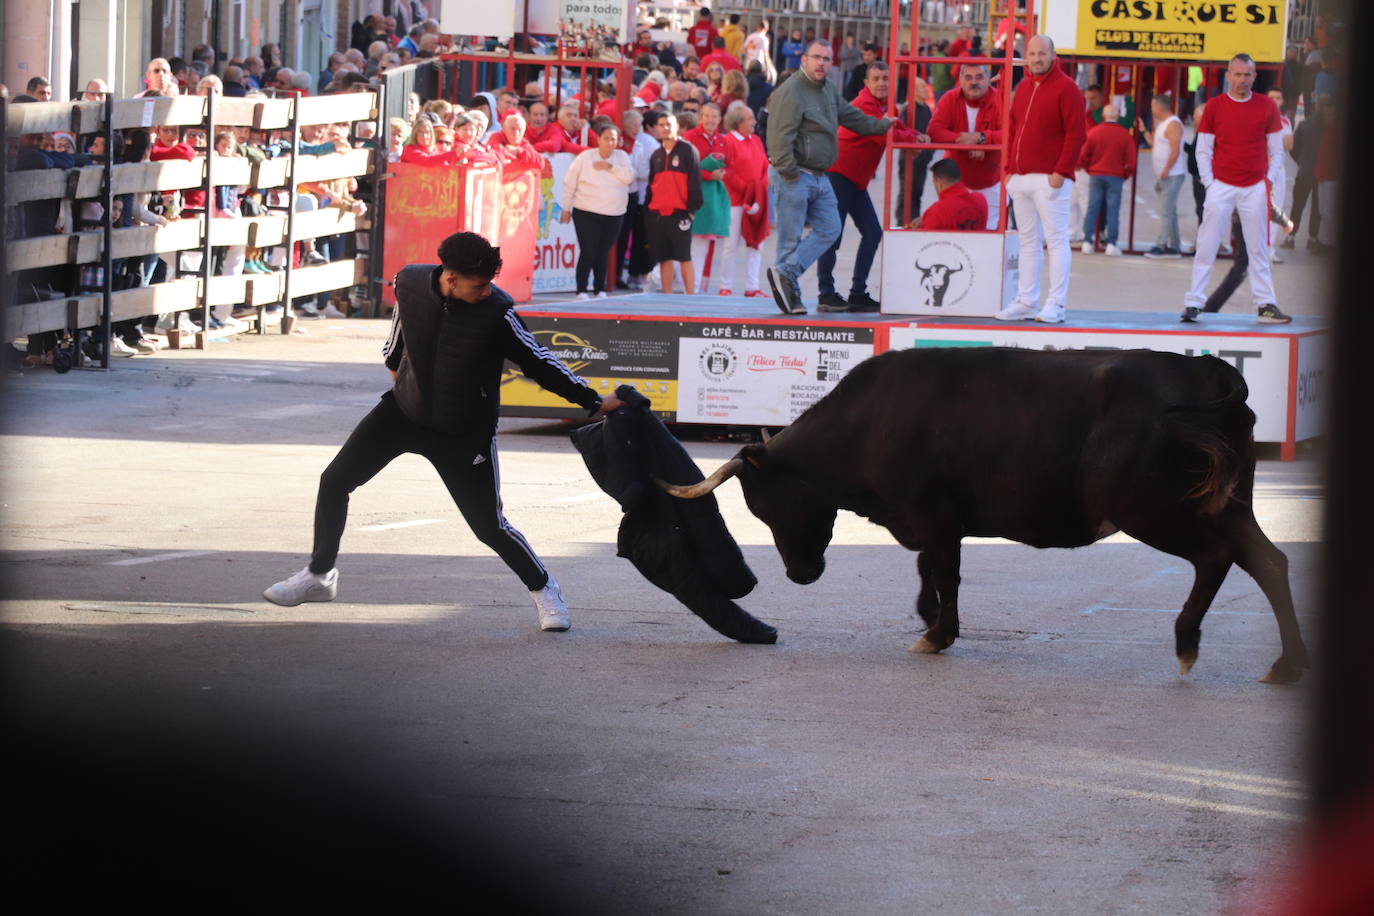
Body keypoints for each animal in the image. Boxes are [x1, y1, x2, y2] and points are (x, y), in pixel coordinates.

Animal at [662, 347, 1308, 683]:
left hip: (1149, 509)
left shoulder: (933, 514)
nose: (801, 574)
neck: (869, 422)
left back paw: (1187, 642)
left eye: (764, 506)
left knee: (1216, 558)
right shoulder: (932, 521)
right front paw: (929, 621)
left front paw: (938, 633)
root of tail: (1205, 371)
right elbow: (929, 569)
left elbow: (943, 571)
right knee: (1268, 561)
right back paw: (1287, 664)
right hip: (1229, 503)